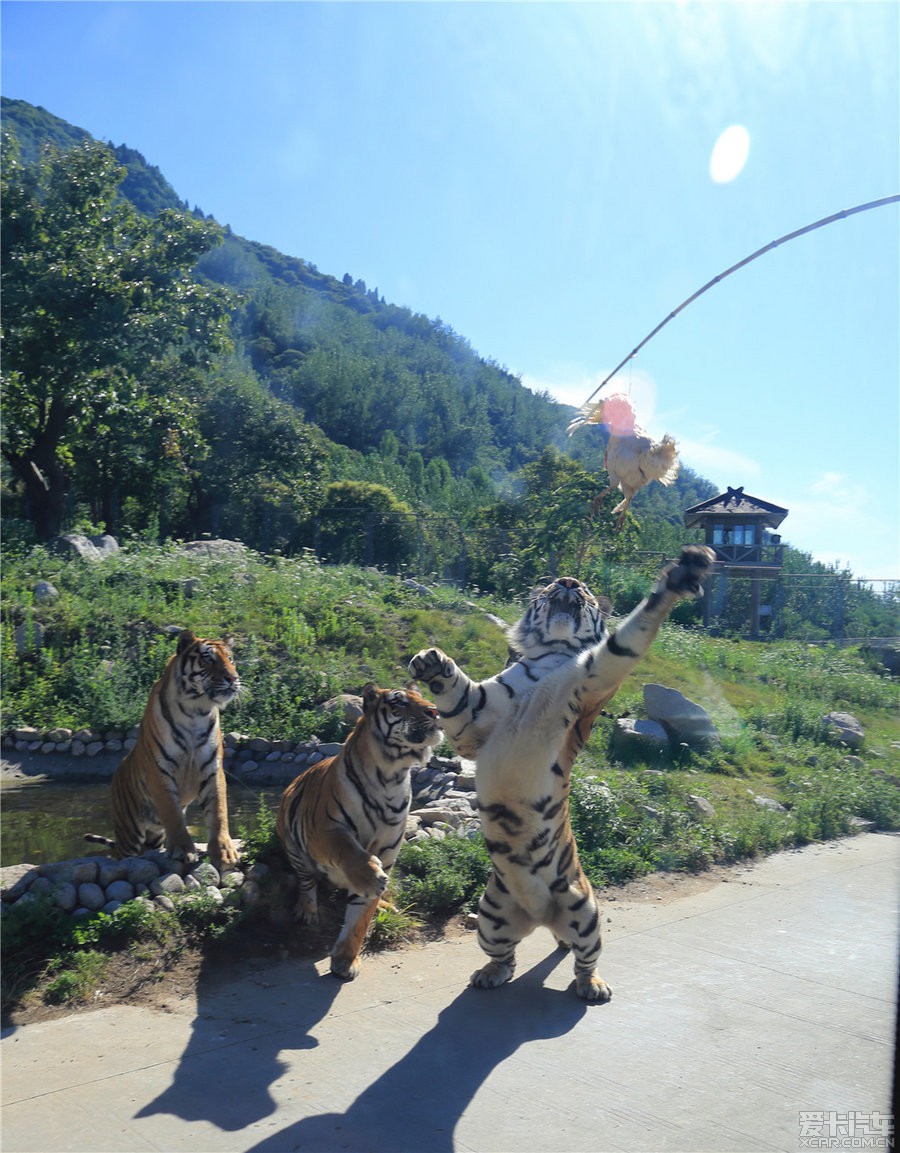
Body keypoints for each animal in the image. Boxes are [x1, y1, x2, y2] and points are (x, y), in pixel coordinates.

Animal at [85, 636, 240, 867]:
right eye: (208, 659)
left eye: (230, 659)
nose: (233, 678)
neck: (197, 710)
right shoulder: (160, 770)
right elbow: (173, 814)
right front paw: (183, 851)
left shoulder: (213, 769)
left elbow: (219, 811)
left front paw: (224, 852)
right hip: (130, 832)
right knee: (122, 854)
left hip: (153, 836)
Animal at [275, 682, 440, 982]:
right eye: (399, 702)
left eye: (422, 697)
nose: (435, 711)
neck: (391, 776)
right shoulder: (324, 830)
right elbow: (347, 849)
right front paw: (369, 877)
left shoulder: (386, 852)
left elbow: (359, 918)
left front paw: (345, 960)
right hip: (295, 848)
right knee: (307, 883)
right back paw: (307, 911)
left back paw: (386, 904)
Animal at [405, 544, 709, 996]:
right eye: (550, 585)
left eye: (584, 589)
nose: (567, 582)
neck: (551, 654)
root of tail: (542, 917)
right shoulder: (474, 721)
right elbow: (456, 692)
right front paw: (431, 661)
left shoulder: (597, 675)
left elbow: (630, 633)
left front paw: (681, 575)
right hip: (491, 914)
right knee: (506, 955)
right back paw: (489, 974)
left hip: (585, 909)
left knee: (585, 955)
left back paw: (593, 986)